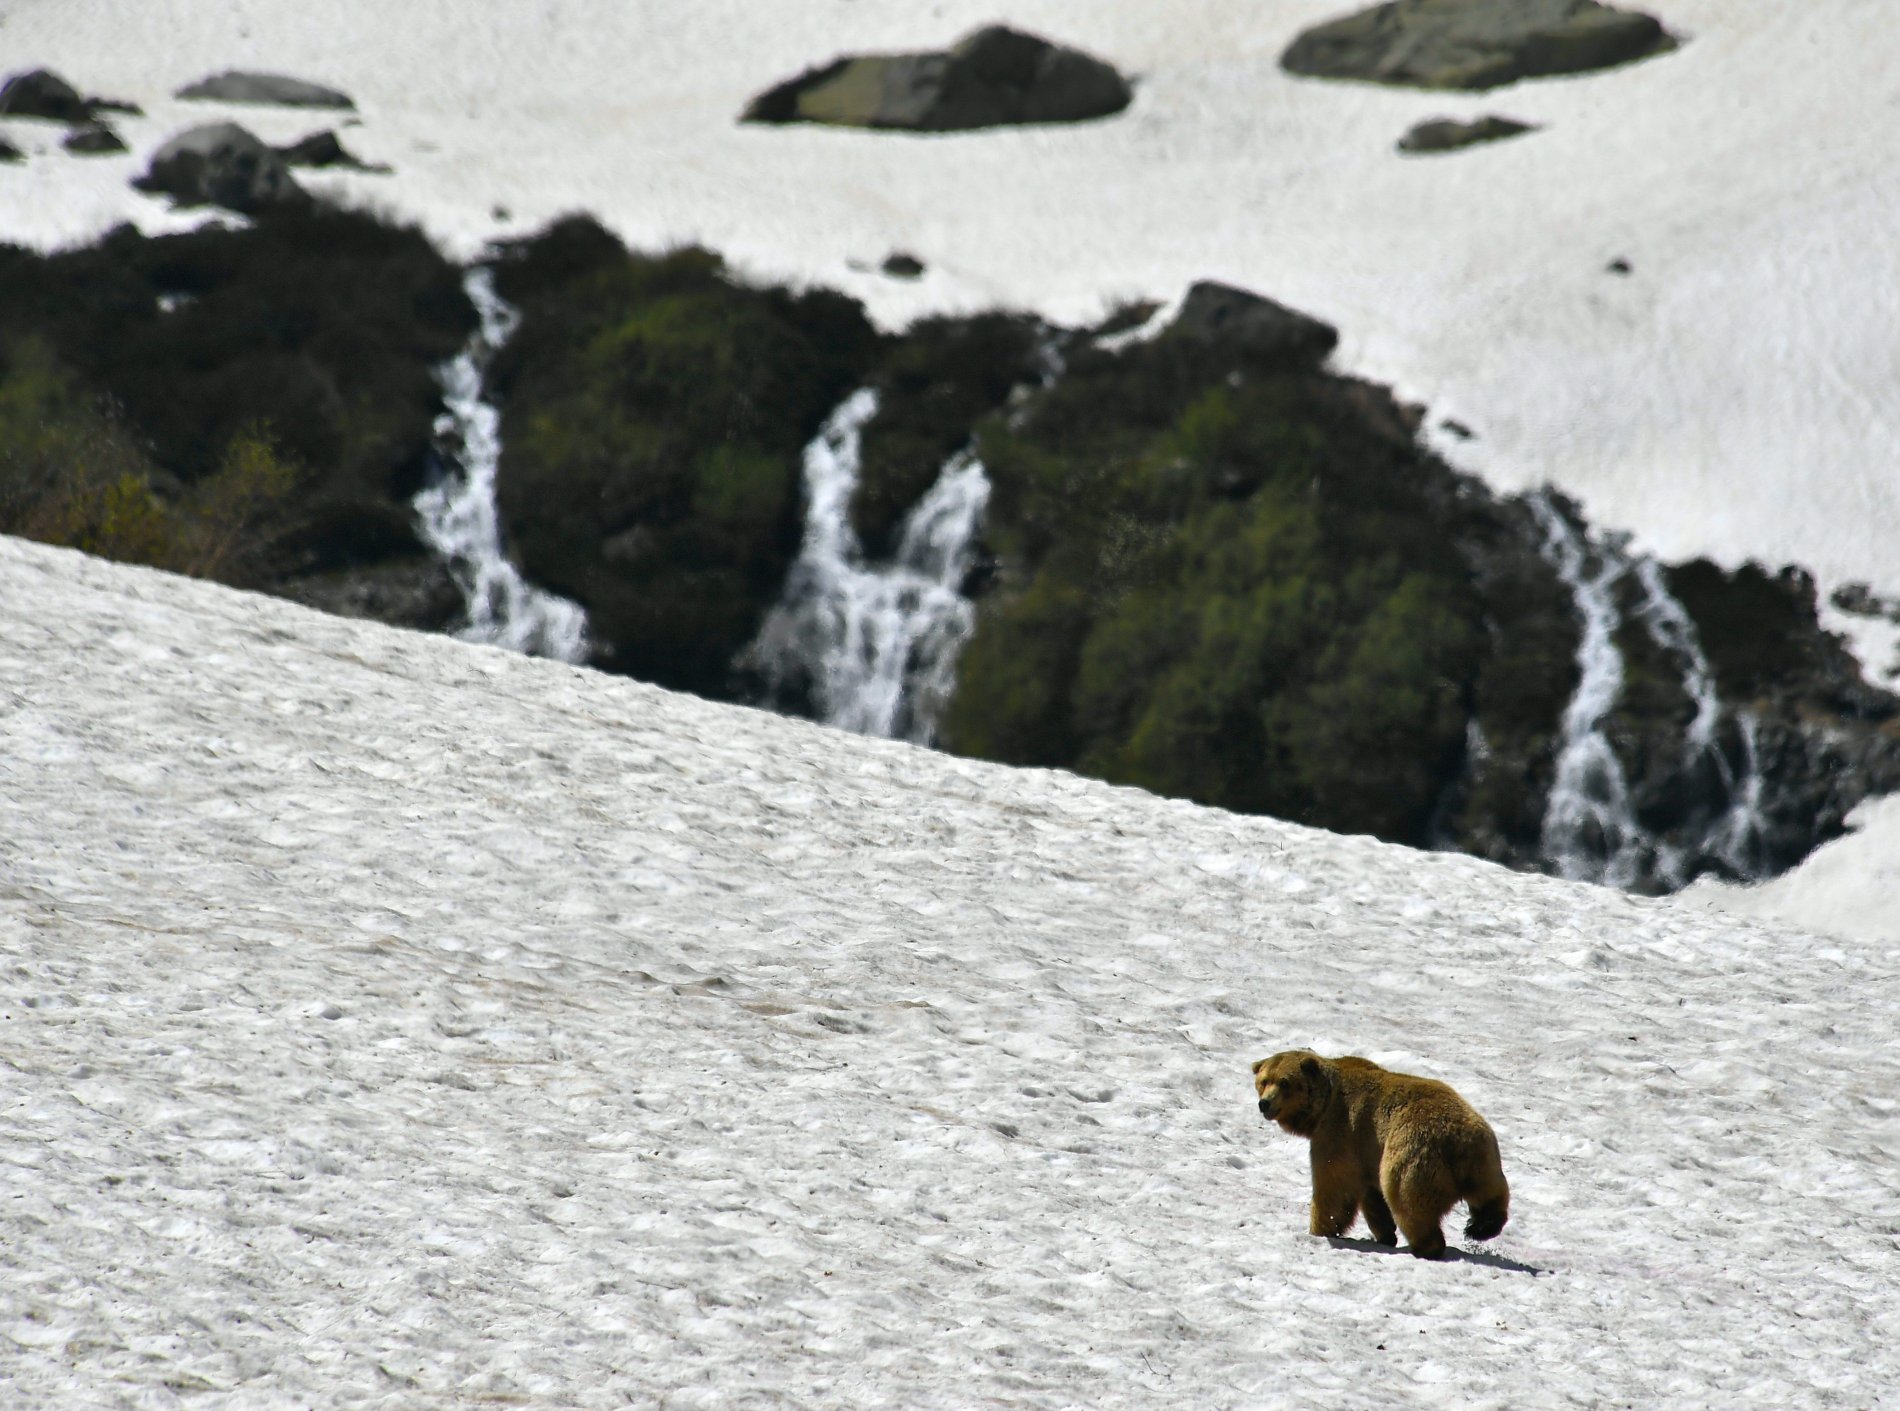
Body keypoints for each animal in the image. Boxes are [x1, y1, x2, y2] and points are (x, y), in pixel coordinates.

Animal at [1246, 1048, 1512, 1260]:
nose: (1264, 1103)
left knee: (1405, 1198)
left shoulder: (1340, 1131)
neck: (1322, 1107)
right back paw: (1481, 1226)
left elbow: (1333, 1185)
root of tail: (1457, 1139)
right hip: (1483, 1157)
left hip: (1412, 1154)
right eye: (1264, 1081)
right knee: (1491, 1192)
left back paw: (1426, 1246)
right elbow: (1371, 1196)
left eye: (1285, 1082)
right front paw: (1384, 1232)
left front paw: (1320, 1229)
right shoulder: (1367, 1150)